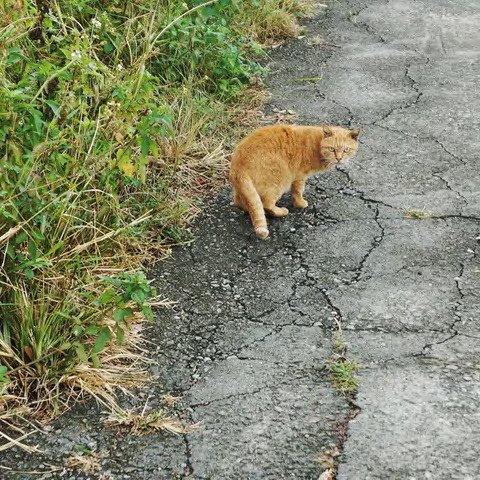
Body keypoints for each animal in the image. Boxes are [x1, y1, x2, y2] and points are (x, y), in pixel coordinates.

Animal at [230, 122, 360, 238]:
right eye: (332, 149)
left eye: (346, 150)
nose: (339, 159)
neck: (317, 145)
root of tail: (237, 164)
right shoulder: (300, 176)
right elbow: (298, 191)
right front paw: (300, 203)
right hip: (279, 182)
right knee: (266, 204)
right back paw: (281, 211)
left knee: (242, 202)